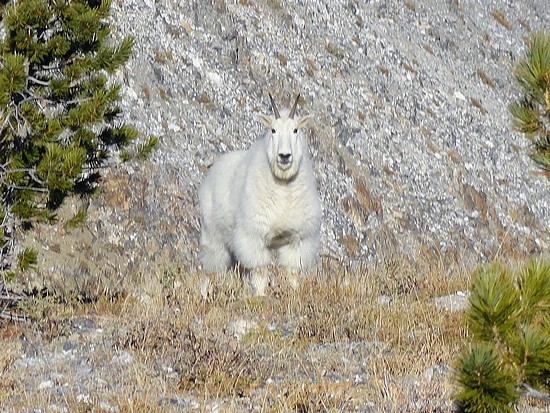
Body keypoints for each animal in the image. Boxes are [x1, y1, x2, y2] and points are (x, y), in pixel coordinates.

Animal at [198, 94, 322, 292]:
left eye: (295, 130)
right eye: (273, 130)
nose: (284, 156)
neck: (283, 188)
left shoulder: (299, 239)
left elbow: (292, 273)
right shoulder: (253, 236)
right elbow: (260, 272)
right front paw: (260, 295)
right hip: (212, 233)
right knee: (213, 264)